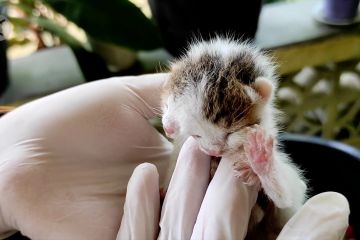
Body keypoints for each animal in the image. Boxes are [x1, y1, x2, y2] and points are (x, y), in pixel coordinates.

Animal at [162, 37, 308, 238]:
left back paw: (261, 163)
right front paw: (170, 123)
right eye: (196, 135)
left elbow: (289, 195)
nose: (215, 150)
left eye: (231, 133)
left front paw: (259, 162)